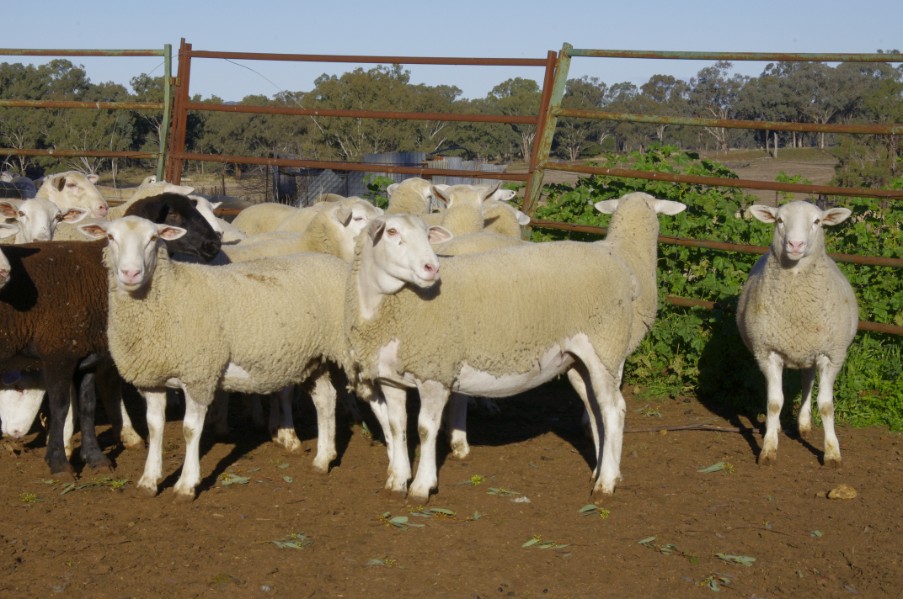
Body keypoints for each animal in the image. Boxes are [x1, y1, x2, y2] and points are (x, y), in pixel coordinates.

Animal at [80, 216, 354, 500]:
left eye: (154, 238)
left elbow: (190, 430)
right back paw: (323, 459)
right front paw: (149, 480)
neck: (170, 294)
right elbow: (155, 426)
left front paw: (186, 485)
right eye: (110, 237)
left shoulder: (199, 375)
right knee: (325, 399)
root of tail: (338, 262)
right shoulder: (153, 378)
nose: (130, 273)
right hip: (314, 358)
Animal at [345, 213, 645, 503]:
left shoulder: (435, 372)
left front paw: (421, 487)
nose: (432, 268)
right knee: (596, 410)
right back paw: (600, 472)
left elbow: (425, 429)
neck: (386, 308)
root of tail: (619, 267)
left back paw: (606, 484)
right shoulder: (390, 377)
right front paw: (396, 482)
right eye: (392, 231)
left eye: (427, 233)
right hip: (578, 361)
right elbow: (397, 426)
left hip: (605, 347)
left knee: (613, 410)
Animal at [736, 200, 859, 467]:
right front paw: (768, 449)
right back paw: (778, 426)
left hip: (811, 352)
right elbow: (774, 403)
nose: (795, 245)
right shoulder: (768, 352)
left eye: (817, 221)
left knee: (806, 382)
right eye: (779, 220)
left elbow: (826, 405)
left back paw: (804, 423)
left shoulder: (831, 355)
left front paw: (832, 453)